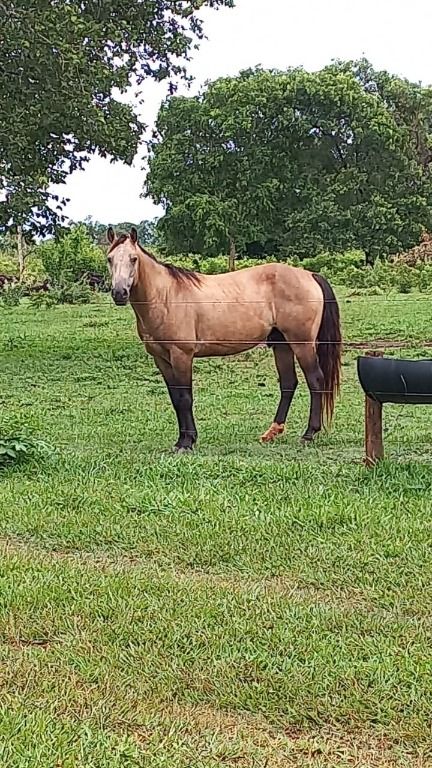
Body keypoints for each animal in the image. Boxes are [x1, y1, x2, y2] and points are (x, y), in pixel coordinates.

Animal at [107, 228, 340, 452]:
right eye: (109, 258)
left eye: (133, 258)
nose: (119, 293)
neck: (166, 296)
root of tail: (310, 275)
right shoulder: (161, 358)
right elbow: (175, 398)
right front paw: (182, 440)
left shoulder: (182, 355)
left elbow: (185, 398)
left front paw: (187, 442)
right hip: (282, 345)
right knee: (289, 383)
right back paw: (271, 432)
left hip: (302, 344)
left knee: (315, 381)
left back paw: (309, 434)